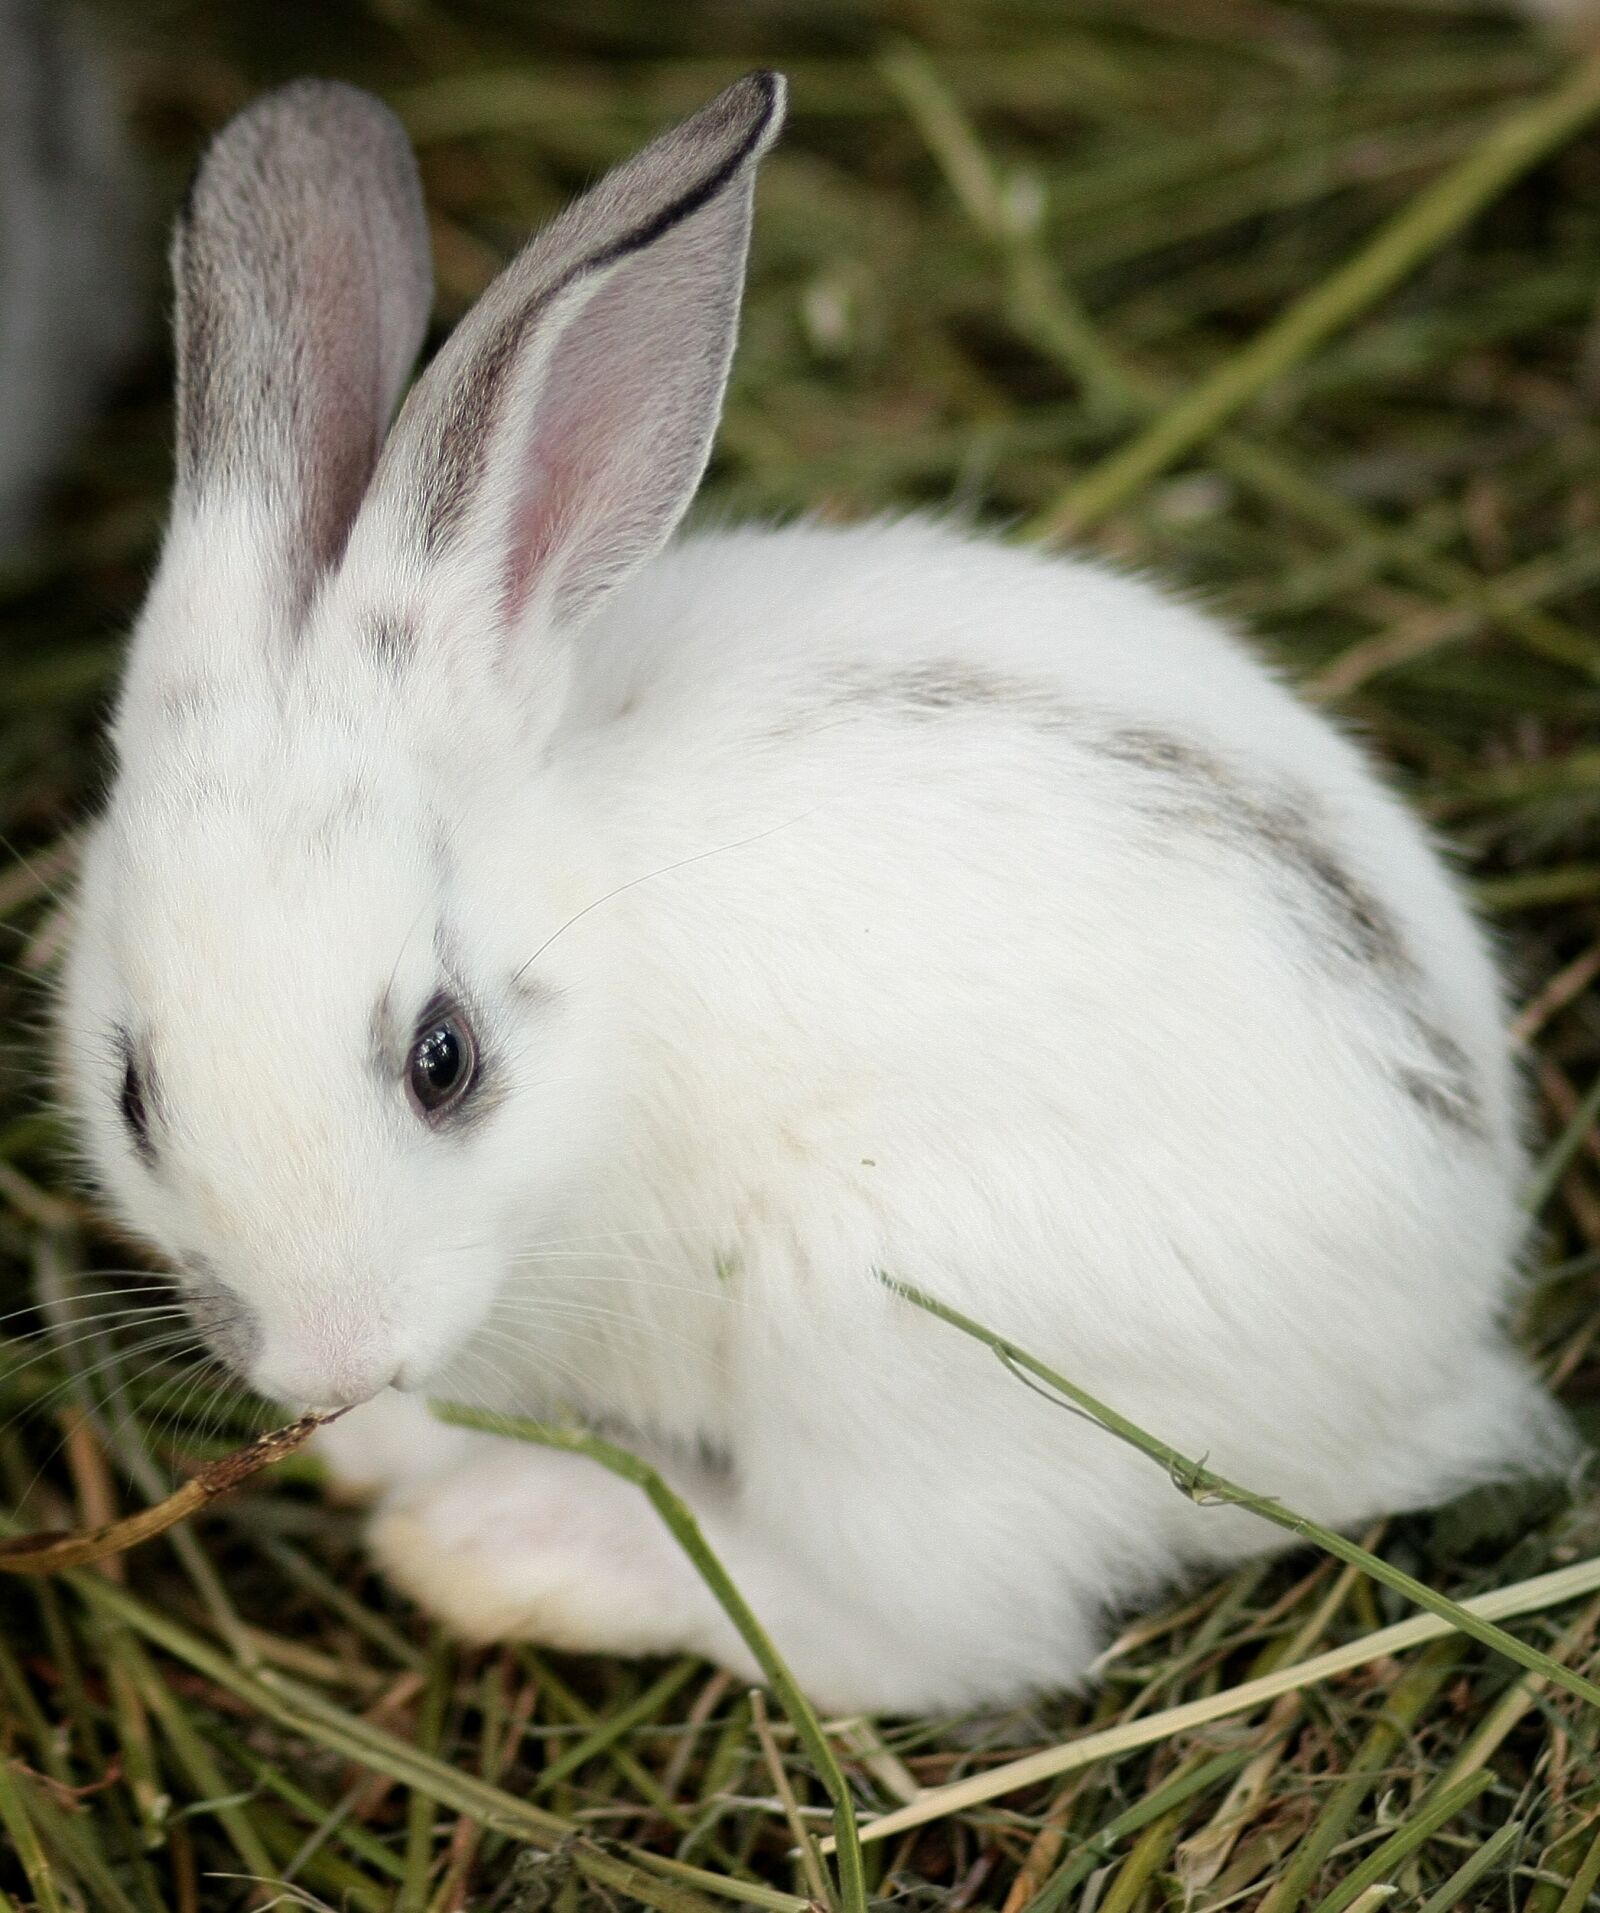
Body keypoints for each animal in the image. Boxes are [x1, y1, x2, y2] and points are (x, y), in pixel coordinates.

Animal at [59, 71, 1572, 1715]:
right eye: (133, 1095)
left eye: (443, 1059)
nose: (332, 1364)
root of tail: (1437, 1335)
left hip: (884, 1345)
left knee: (908, 1632)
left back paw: (511, 1545)